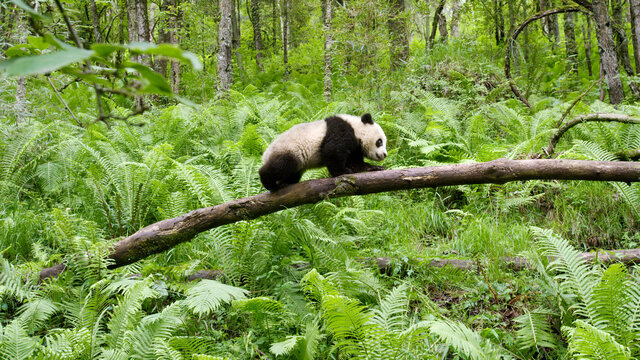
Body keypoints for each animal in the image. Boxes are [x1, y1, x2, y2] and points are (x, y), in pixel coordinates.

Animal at [258, 113, 388, 191]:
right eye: (379, 141)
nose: (384, 155)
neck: (355, 128)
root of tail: (266, 154)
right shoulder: (340, 131)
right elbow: (332, 151)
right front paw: (342, 171)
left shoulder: (355, 148)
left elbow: (356, 163)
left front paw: (375, 168)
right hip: (290, 150)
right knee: (281, 166)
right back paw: (270, 183)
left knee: (292, 174)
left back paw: (284, 183)